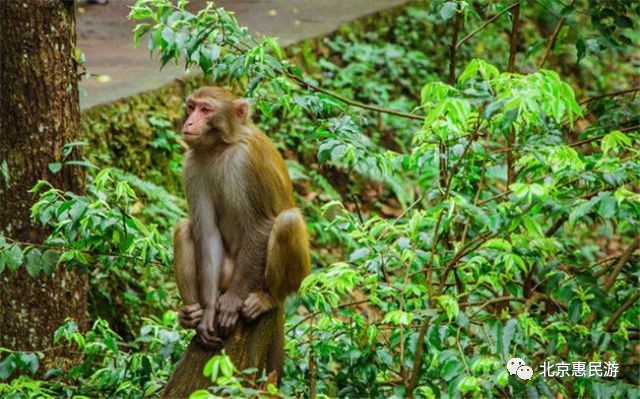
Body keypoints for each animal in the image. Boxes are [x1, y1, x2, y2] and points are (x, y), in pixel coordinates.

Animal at [170, 86, 310, 376]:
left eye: (206, 110)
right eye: (191, 107)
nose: (188, 123)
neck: (221, 147)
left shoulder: (247, 162)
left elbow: (260, 224)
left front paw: (232, 301)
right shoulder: (192, 165)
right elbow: (207, 232)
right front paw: (208, 313)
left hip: (270, 277)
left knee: (287, 222)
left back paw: (269, 299)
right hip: (226, 274)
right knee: (184, 228)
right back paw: (191, 314)